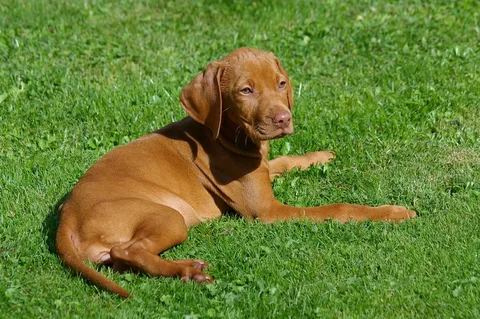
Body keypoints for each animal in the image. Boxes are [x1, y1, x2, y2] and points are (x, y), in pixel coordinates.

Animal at [57, 47, 416, 300]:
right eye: (246, 91)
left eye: (281, 84)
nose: (284, 119)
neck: (230, 136)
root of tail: (67, 216)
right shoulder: (267, 211)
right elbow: (338, 208)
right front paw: (392, 212)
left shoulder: (263, 166)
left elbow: (283, 161)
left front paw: (320, 156)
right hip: (169, 216)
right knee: (127, 250)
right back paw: (188, 269)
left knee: (123, 262)